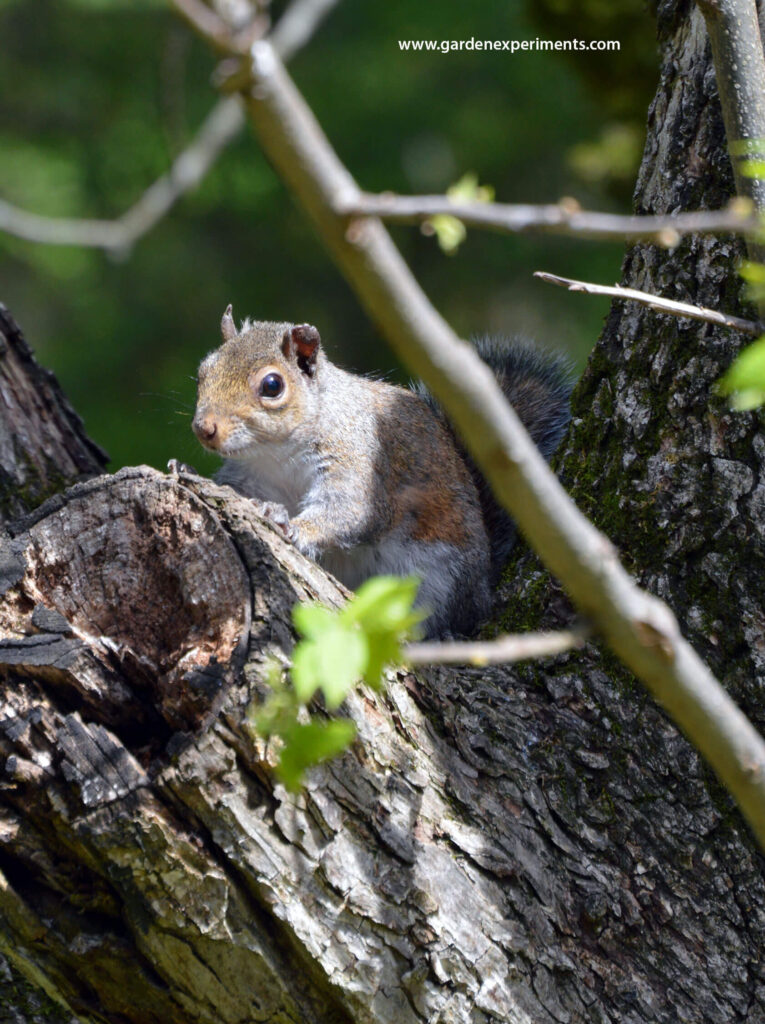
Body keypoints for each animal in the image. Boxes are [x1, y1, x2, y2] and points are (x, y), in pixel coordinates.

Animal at [194, 307, 573, 634]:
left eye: (272, 386)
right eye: (204, 370)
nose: (204, 428)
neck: (276, 454)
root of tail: (482, 591)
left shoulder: (360, 460)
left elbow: (352, 510)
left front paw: (293, 525)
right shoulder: (250, 475)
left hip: (439, 580)